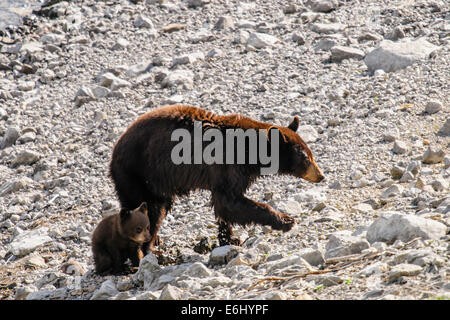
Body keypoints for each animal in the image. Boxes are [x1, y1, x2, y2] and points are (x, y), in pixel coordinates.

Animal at [109, 105, 324, 250]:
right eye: (306, 158)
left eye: (311, 154)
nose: (321, 176)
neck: (251, 150)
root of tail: (114, 152)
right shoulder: (228, 164)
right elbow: (229, 202)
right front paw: (286, 220)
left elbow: (225, 207)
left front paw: (230, 239)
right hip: (137, 174)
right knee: (146, 210)